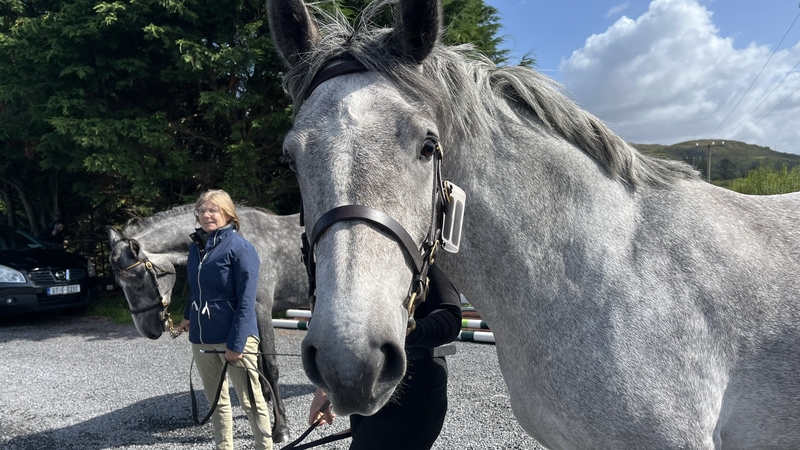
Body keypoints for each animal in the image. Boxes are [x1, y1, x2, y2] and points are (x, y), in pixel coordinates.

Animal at [107, 205, 307, 443]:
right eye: (119, 282)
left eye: (138, 277)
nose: (148, 330)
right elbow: (256, 364)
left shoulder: (261, 312)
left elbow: (270, 367)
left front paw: (281, 428)